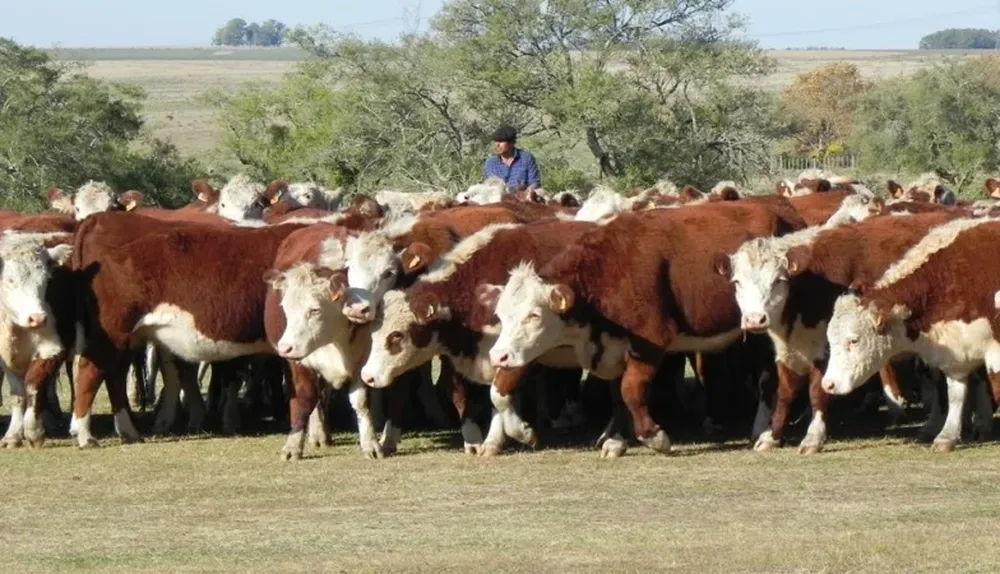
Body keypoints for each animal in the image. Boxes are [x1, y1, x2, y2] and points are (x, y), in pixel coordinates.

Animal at [480, 199, 807, 456]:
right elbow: (499, 392)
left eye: (534, 315)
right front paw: (525, 431)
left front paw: (655, 437)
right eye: (501, 315)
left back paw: (765, 432)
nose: (498, 356)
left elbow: (631, 390)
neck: (606, 272)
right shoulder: (611, 347)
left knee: (770, 378)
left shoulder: (651, 341)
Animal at [720, 210, 968, 453]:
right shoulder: (787, 352)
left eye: (778, 280)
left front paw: (813, 437)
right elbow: (785, 394)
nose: (755, 319)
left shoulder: (827, 349)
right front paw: (771, 436)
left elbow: (817, 391)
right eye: (737, 282)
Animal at [822, 217, 1000, 452]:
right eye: (830, 340)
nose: (827, 384)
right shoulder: (956, 351)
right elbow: (955, 393)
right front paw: (946, 436)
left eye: (854, 340)